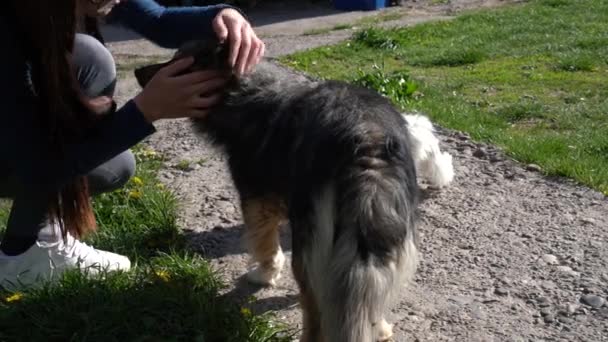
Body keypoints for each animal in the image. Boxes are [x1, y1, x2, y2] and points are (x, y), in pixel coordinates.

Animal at [137, 40, 452, 342]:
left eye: (179, 62)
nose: (138, 73)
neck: (245, 89)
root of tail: (366, 146)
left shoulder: (256, 200)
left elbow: (265, 246)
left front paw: (263, 275)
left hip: (308, 251)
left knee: (317, 315)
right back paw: (382, 328)